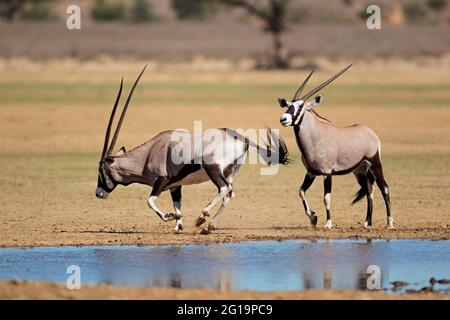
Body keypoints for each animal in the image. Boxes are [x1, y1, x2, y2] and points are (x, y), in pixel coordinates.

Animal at [96, 66, 290, 234]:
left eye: (102, 171)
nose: (99, 193)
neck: (147, 155)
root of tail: (238, 137)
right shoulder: (175, 186)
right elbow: (177, 205)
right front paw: (178, 225)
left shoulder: (161, 179)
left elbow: (150, 201)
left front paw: (171, 218)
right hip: (230, 171)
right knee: (229, 194)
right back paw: (209, 226)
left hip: (213, 168)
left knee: (223, 189)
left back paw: (202, 217)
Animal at [280, 65, 392, 230]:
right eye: (289, 106)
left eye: (300, 107)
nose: (284, 119)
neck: (316, 137)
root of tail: (371, 133)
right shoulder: (311, 172)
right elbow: (301, 191)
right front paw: (313, 218)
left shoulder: (327, 173)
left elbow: (326, 197)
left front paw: (328, 223)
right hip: (360, 171)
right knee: (369, 191)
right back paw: (366, 222)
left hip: (375, 164)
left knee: (384, 188)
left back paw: (390, 223)